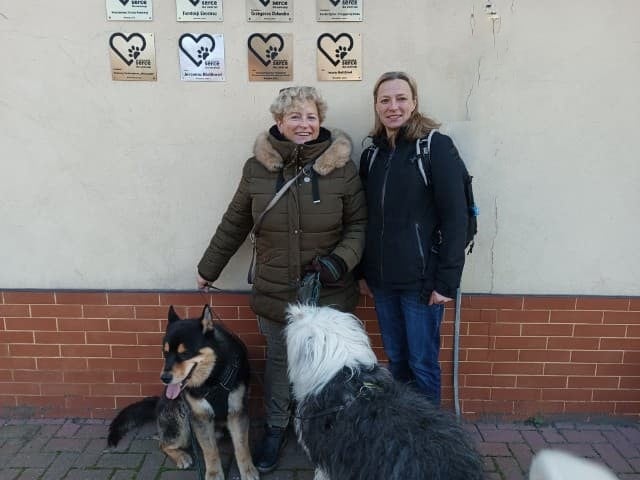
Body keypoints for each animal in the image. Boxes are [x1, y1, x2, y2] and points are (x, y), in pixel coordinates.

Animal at [107, 306, 258, 478]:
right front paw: (213, 474)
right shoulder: (200, 417)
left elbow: (242, 447)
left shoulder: (237, 412)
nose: (164, 378)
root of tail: (158, 402)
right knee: (162, 443)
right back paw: (181, 456)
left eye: (184, 353)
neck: (213, 378)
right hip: (182, 424)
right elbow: (210, 451)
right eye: (165, 352)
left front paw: (248, 470)